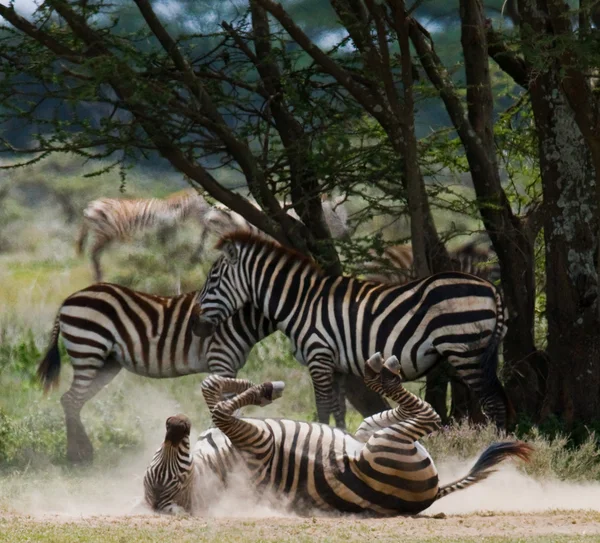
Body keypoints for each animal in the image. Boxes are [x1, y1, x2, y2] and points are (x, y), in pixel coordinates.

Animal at [76, 189, 210, 282]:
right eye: (205, 206)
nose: (208, 221)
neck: (172, 211)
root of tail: (90, 205)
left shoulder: (166, 232)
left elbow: (167, 251)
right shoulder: (158, 231)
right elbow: (163, 252)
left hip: (105, 236)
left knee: (96, 255)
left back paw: (100, 276)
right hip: (102, 233)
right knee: (93, 254)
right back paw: (99, 278)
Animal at [143, 356, 532, 520]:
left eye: (156, 467)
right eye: (170, 476)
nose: (174, 423)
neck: (217, 464)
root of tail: (432, 494)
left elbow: (211, 391)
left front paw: (248, 384)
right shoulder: (259, 444)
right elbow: (221, 411)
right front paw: (264, 389)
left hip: (367, 433)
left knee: (395, 416)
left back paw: (382, 369)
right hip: (384, 446)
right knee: (429, 416)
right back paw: (382, 374)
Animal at [195, 232, 512, 432]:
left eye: (213, 278)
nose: (198, 325)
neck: (301, 302)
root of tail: (491, 288)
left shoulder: (318, 356)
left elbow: (323, 408)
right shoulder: (334, 366)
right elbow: (338, 411)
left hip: (465, 351)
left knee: (493, 402)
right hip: (484, 352)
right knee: (499, 397)